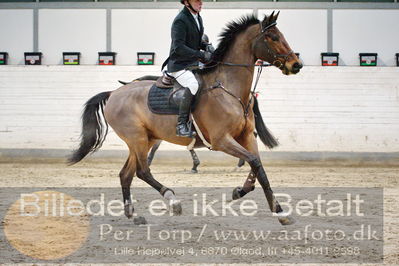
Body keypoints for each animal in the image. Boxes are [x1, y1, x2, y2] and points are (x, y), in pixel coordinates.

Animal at [70, 11, 304, 224]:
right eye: (272, 37)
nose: (296, 64)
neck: (230, 89)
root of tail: (113, 93)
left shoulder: (245, 136)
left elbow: (258, 166)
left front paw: (249, 195)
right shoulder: (221, 140)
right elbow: (254, 162)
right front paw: (277, 210)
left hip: (145, 139)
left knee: (126, 174)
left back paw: (134, 215)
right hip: (137, 138)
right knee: (142, 171)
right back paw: (172, 200)